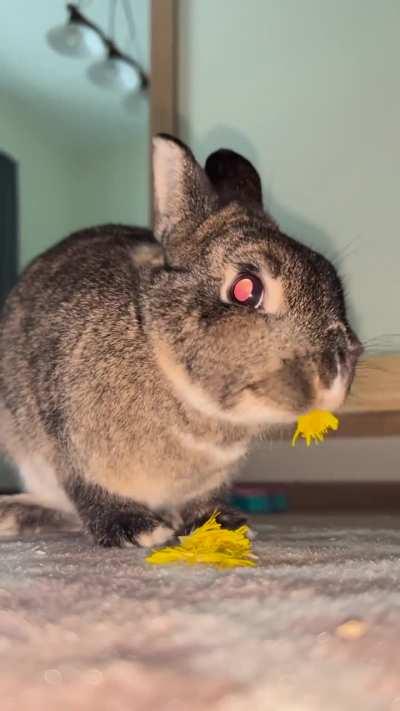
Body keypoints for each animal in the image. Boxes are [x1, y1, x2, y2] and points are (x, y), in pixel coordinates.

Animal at [0, 136, 362, 548]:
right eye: (245, 290)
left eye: (333, 279)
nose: (333, 376)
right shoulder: (67, 441)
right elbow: (88, 490)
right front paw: (137, 531)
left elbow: (199, 501)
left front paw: (221, 524)